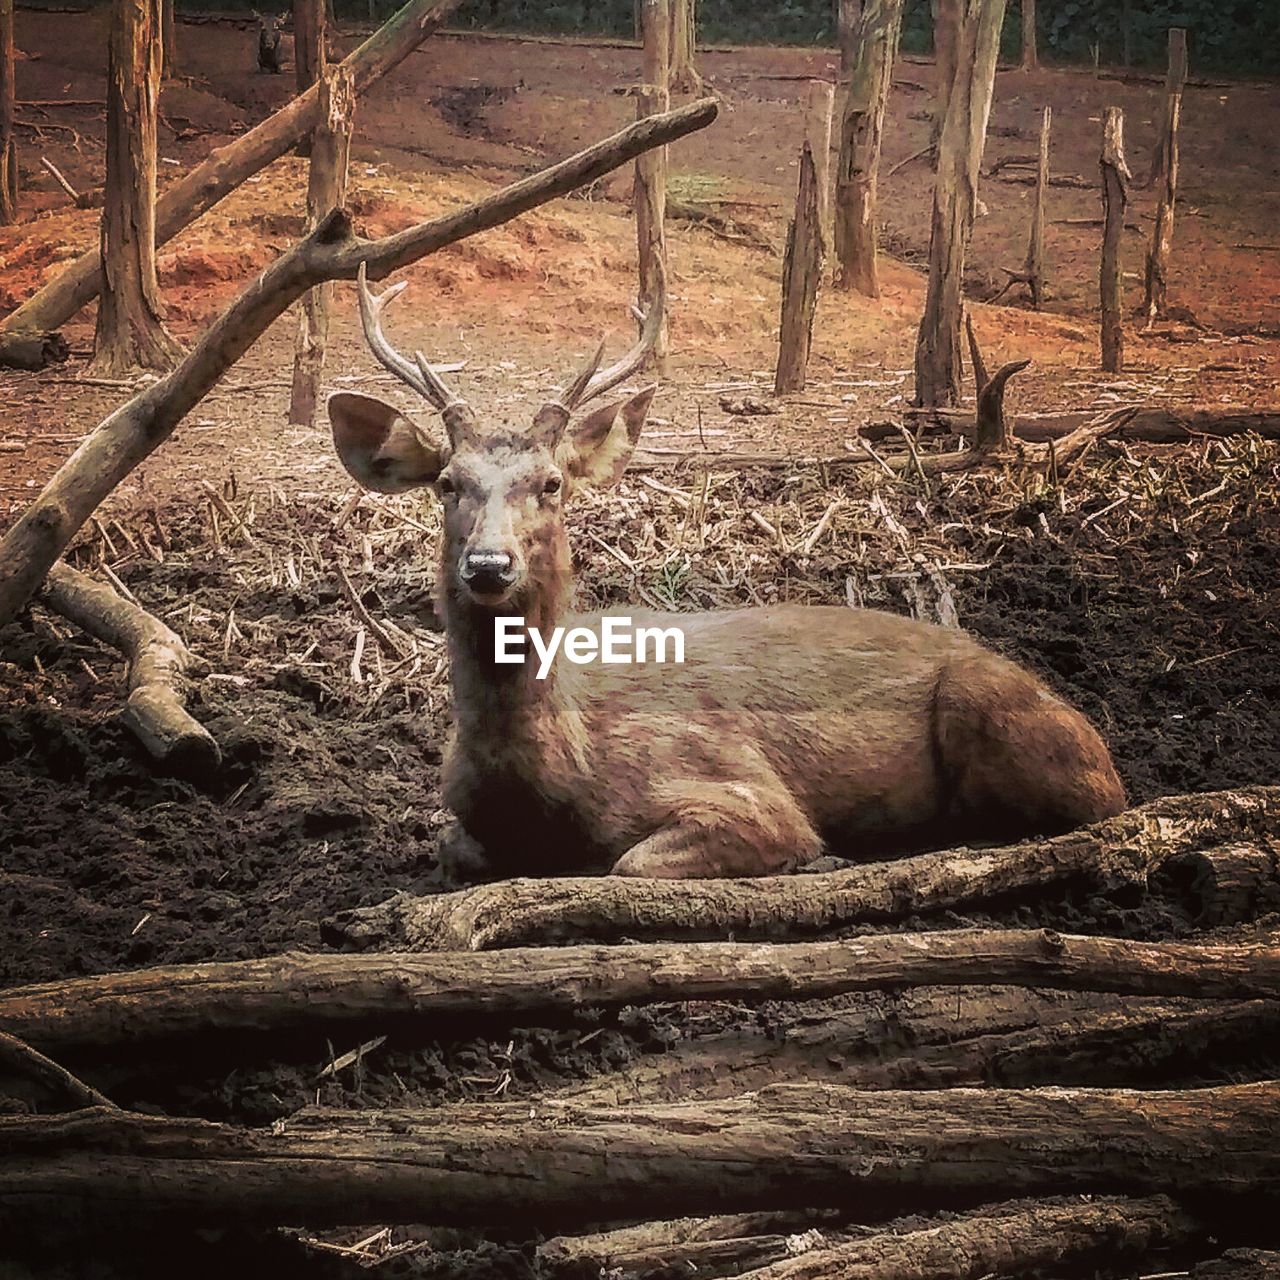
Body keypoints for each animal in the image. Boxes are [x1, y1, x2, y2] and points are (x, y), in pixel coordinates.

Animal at [325, 262, 1126, 880]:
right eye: (447, 483)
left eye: (551, 483)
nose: (489, 564)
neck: (548, 785)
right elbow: (450, 847)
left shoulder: (739, 786)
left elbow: (632, 862)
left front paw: (818, 856)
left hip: (1004, 717)